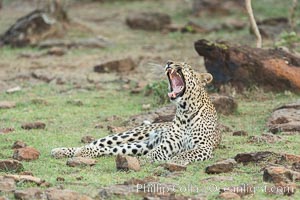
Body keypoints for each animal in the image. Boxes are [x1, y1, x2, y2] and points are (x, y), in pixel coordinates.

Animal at [51, 60, 220, 164]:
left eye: (186, 66)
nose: (169, 62)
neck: (185, 110)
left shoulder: (203, 147)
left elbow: (186, 153)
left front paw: (176, 160)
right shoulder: (168, 143)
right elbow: (156, 153)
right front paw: (144, 161)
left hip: (140, 145)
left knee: (108, 149)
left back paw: (78, 153)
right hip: (130, 135)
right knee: (97, 143)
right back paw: (63, 151)